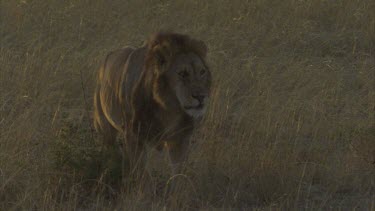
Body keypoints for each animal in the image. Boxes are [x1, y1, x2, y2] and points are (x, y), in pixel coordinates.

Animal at [93, 31, 212, 173]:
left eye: (202, 72)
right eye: (182, 73)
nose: (201, 96)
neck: (168, 108)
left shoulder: (180, 140)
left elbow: (178, 174)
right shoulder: (135, 137)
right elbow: (141, 174)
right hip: (105, 127)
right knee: (110, 150)